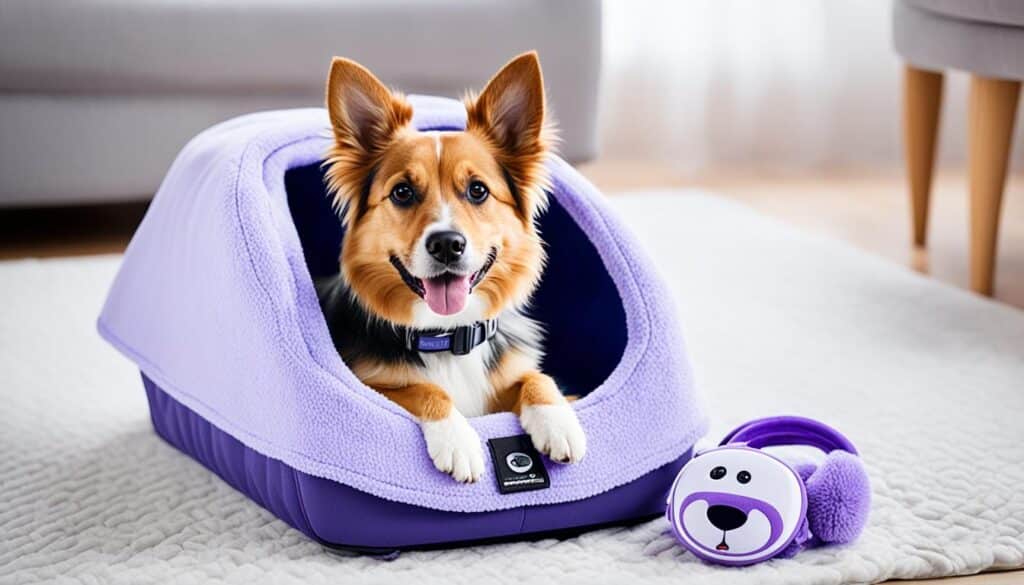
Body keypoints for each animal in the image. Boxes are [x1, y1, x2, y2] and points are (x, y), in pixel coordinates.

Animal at [313, 50, 585, 483]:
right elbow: (424, 389)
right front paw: (458, 442)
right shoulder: (368, 386)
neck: (447, 336)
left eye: (478, 190)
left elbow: (537, 378)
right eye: (402, 192)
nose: (446, 245)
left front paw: (558, 421)